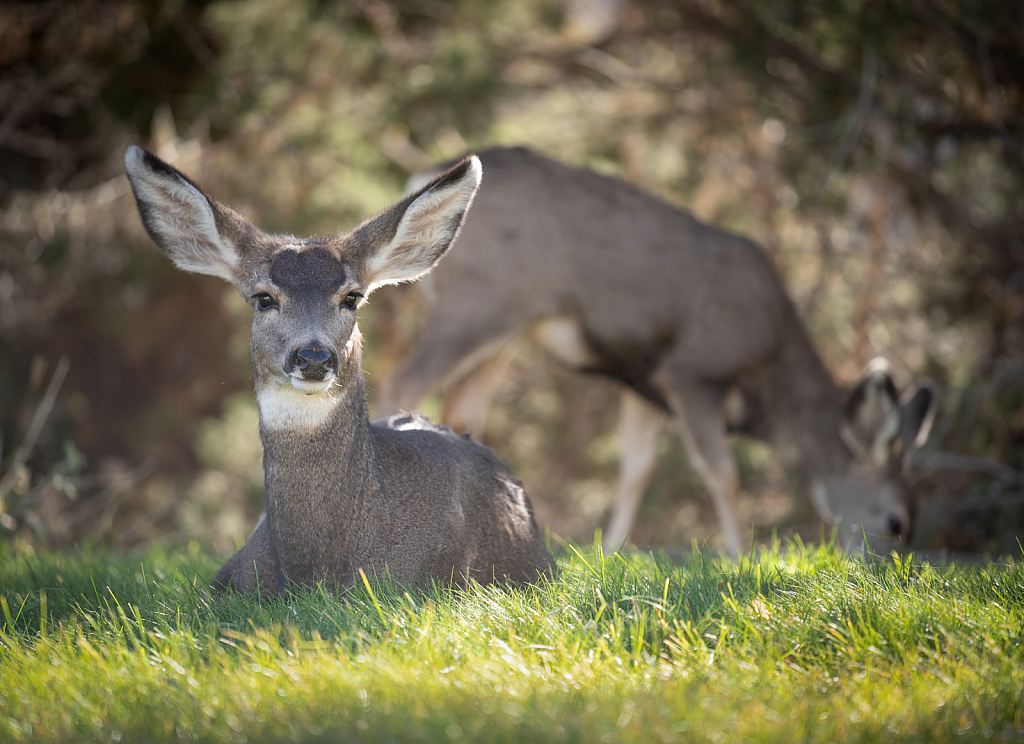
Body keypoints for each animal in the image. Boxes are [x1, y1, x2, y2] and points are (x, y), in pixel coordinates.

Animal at [378, 148, 937, 556]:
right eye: (896, 521)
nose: (884, 573)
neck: (768, 369)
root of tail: (419, 178)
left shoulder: (641, 384)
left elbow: (636, 469)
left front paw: (612, 551)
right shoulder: (692, 372)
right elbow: (722, 472)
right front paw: (740, 557)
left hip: (504, 330)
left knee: (463, 409)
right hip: (479, 304)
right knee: (402, 380)